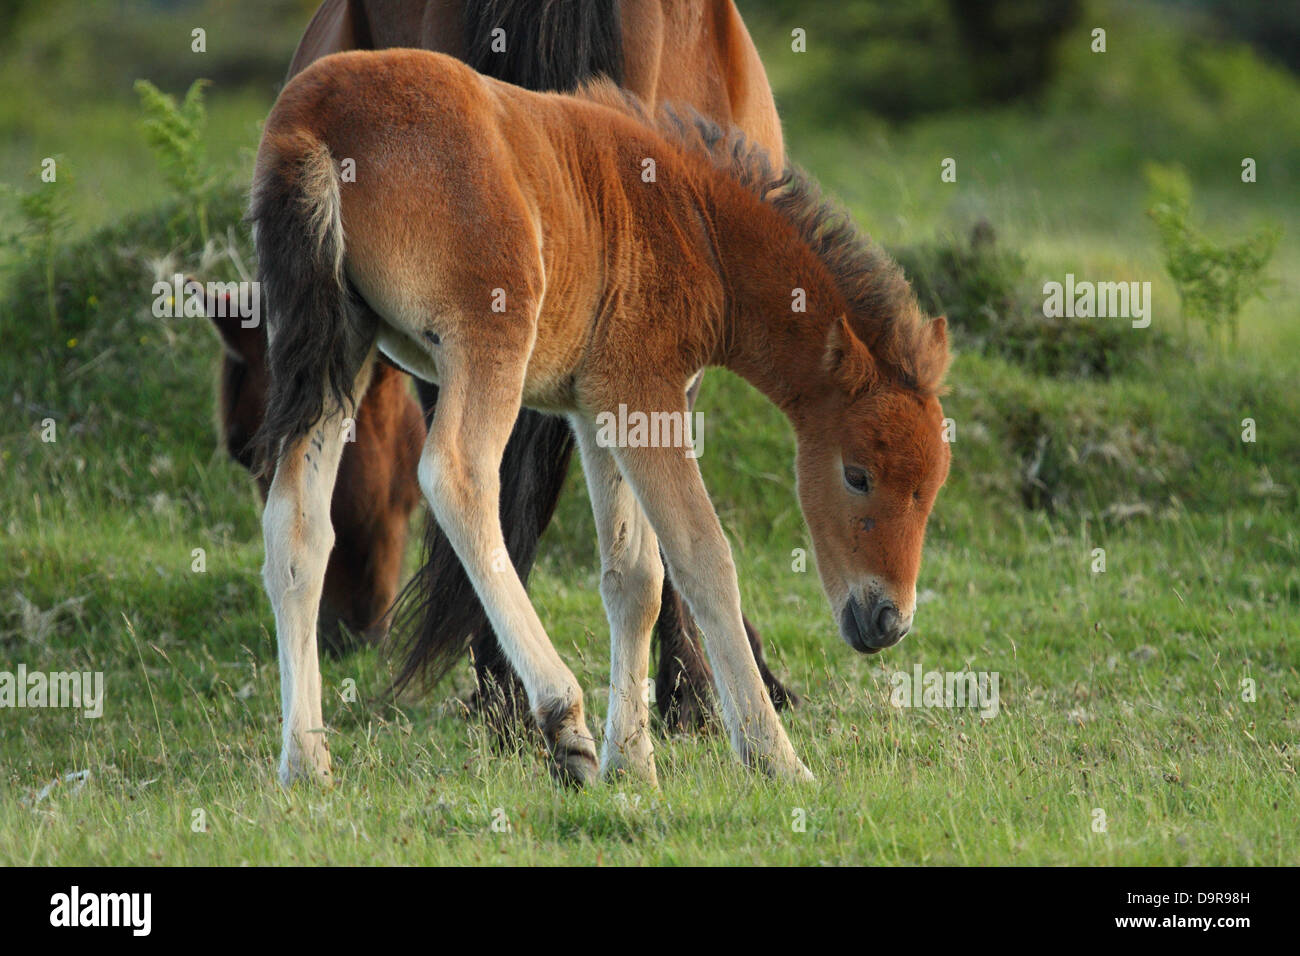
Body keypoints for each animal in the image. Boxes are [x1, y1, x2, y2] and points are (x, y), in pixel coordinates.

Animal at [249, 49, 951, 786]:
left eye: (931, 490)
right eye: (857, 475)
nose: (889, 621)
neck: (695, 223)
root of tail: (317, 115)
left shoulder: (598, 407)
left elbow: (634, 577)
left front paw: (634, 763)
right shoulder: (646, 386)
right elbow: (702, 558)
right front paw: (773, 756)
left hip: (339, 349)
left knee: (296, 527)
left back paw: (306, 763)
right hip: (487, 334)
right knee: (456, 477)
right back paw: (563, 721)